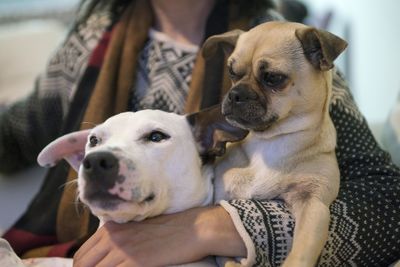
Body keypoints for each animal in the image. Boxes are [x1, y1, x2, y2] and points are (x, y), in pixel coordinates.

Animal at [203, 21, 346, 267]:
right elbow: (227, 259)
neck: (270, 140)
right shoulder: (221, 197)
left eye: (272, 77)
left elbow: (301, 252)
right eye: (232, 72)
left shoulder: (313, 204)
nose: (235, 94)